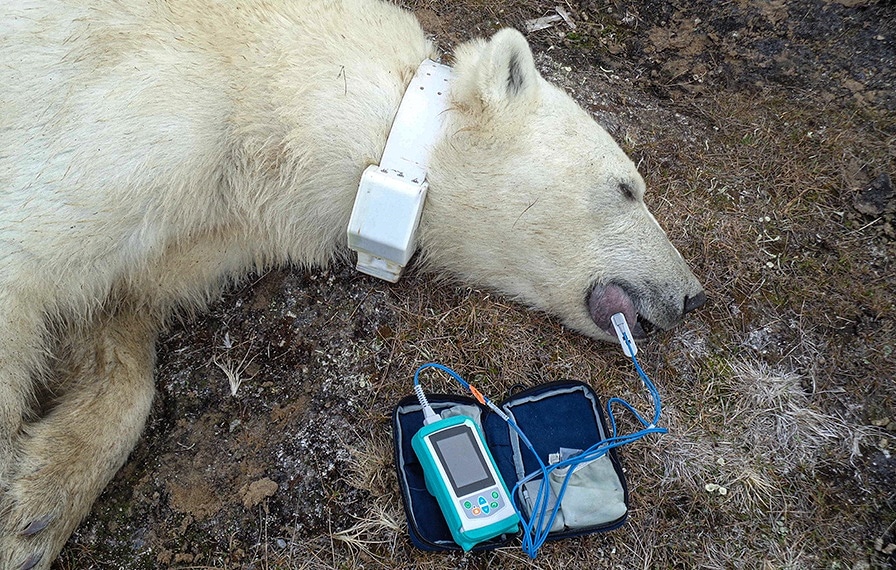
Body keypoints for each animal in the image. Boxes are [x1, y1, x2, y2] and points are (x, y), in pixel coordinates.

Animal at [0, 0, 704, 564]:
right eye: (626, 187)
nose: (692, 293)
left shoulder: (203, 223)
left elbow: (116, 312)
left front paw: (38, 503)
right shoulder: (135, 116)